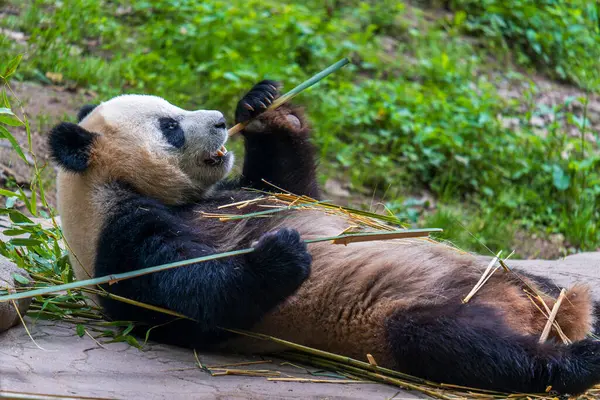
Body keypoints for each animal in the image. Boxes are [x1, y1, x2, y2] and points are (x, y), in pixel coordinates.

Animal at [49, 80, 600, 394]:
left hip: (519, 278)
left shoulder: (237, 192)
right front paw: (282, 254)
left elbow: (291, 187)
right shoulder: (121, 242)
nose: (221, 122)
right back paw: (579, 363)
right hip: (410, 319)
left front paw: (264, 105)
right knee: (464, 345)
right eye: (170, 126)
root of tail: (548, 316)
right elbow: (191, 299)